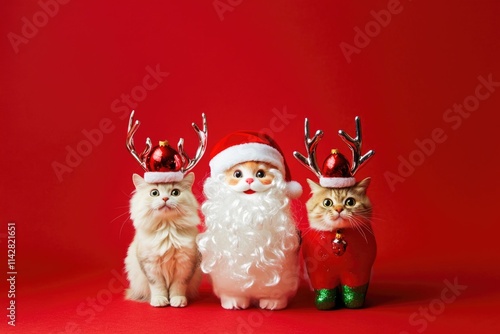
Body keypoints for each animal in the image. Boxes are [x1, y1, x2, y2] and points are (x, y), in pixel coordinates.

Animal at [124, 174, 200, 306]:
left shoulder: (186, 264)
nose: (165, 198)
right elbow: (158, 287)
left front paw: (177, 301)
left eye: (175, 192)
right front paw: (159, 300)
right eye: (154, 193)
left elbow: (178, 286)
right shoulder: (150, 266)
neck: (167, 229)